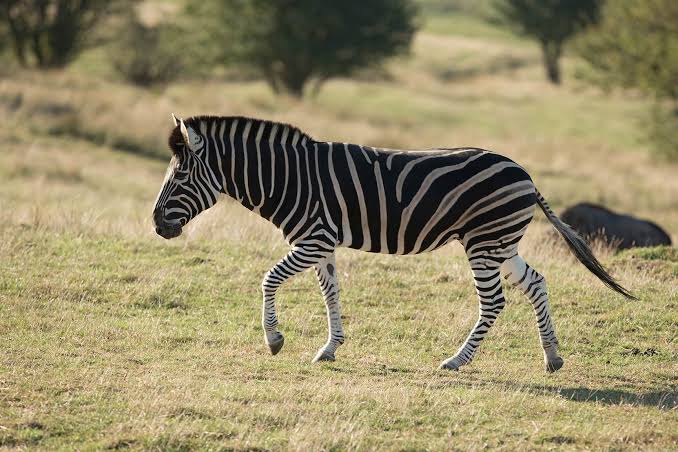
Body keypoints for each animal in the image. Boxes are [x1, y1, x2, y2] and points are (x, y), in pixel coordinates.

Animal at [152, 114, 634, 373]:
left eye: (180, 176)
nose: (157, 226)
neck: (286, 178)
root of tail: (527, 175)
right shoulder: (321, 243)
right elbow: (330, 292)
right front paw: (330, 347)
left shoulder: (314, 238)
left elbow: (269, 279)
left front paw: (274, 340)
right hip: (501, 242)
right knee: (535, 282)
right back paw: (552, 357)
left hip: (483, 243)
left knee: (494, 302)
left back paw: (458, 360)